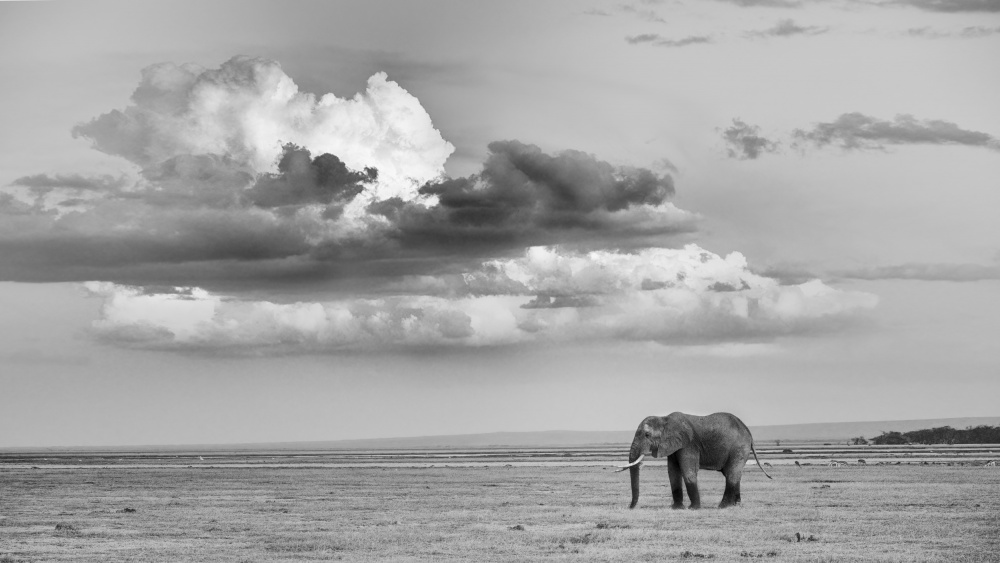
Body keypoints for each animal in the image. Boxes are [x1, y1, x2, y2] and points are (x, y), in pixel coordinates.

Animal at [616, 410, 772, 512]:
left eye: (647, 435)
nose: (630, 507)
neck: (664, 419)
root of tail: (748, 431)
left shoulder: (688, 445)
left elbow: (688, 471)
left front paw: (693, 508)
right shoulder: (674, 446)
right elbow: (672, 472)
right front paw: (676, 508)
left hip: (739, 447)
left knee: (732, 474)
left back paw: (722, 506)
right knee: (733, 474)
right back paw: (736, 505)